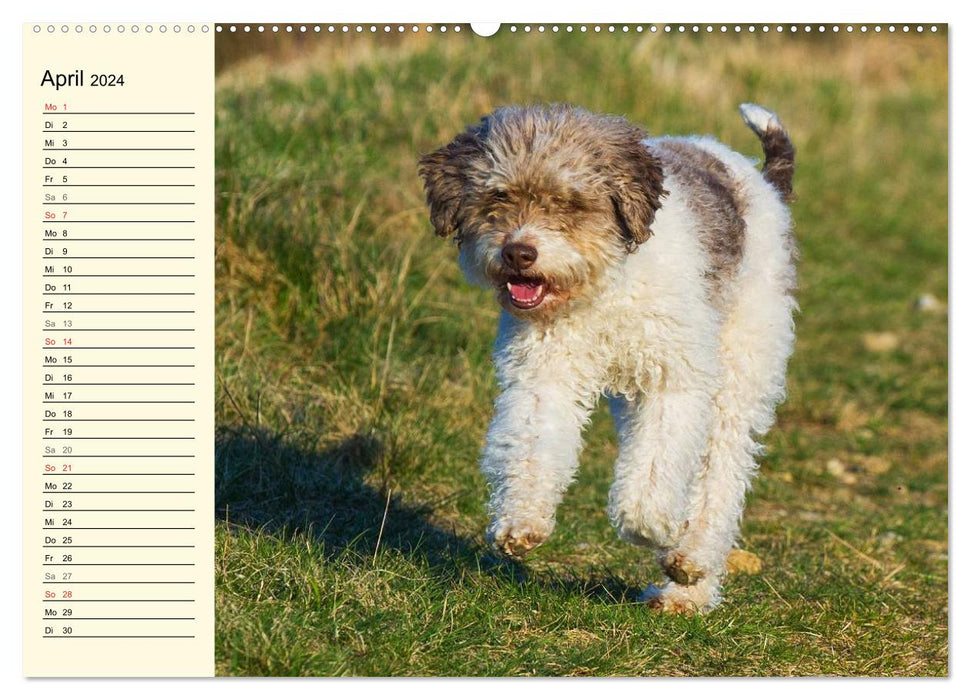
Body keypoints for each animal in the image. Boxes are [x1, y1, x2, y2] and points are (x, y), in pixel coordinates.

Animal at [418, 102, 796, 612]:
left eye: (571, 202)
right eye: (497, 196)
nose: (519, 253)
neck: (604, 287)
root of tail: (760, 179)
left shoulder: (673, 378)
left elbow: (655, 467)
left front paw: (651, 527)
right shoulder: (543, 373)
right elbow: (531, 446)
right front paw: (520, 523)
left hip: (739, 372)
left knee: (720, 472)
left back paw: (688, 571)